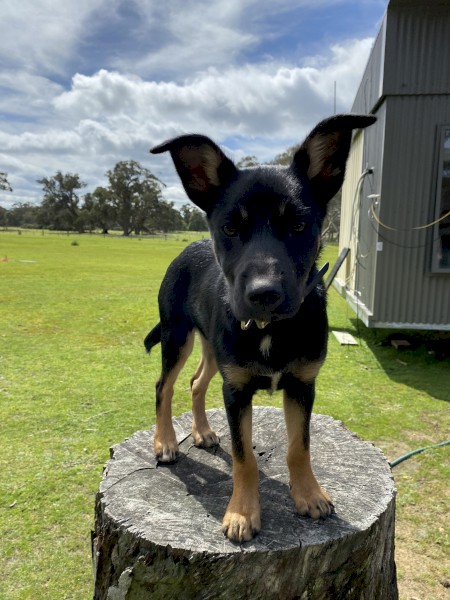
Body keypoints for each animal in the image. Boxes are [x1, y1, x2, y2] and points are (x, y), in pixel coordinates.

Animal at [145, 113, 376, 544]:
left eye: (299, 225)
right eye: (230, 229)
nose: (263, 294)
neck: (270, 328)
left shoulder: (302, 385)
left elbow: (299, 446)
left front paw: (309, 495)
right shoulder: (236, 390)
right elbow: (244, 457)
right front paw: (241, 513)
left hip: (214, 350)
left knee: (196, 383)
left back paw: (202, 432)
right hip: (176, 335)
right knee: (163, 386)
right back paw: (165, 441)